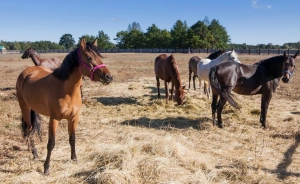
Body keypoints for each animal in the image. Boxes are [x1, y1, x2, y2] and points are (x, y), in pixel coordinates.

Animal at [15, 38, 113, 175]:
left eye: (99, 56)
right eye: (89, 57)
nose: (109, 77)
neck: (67, 91)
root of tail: (25, 72)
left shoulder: (74, 118)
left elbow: (72, 139)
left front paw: (74, 159)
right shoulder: (54, 119)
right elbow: (51, 143)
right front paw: (46, 168)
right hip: (24, 107)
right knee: (28, 130)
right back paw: (34, 153)